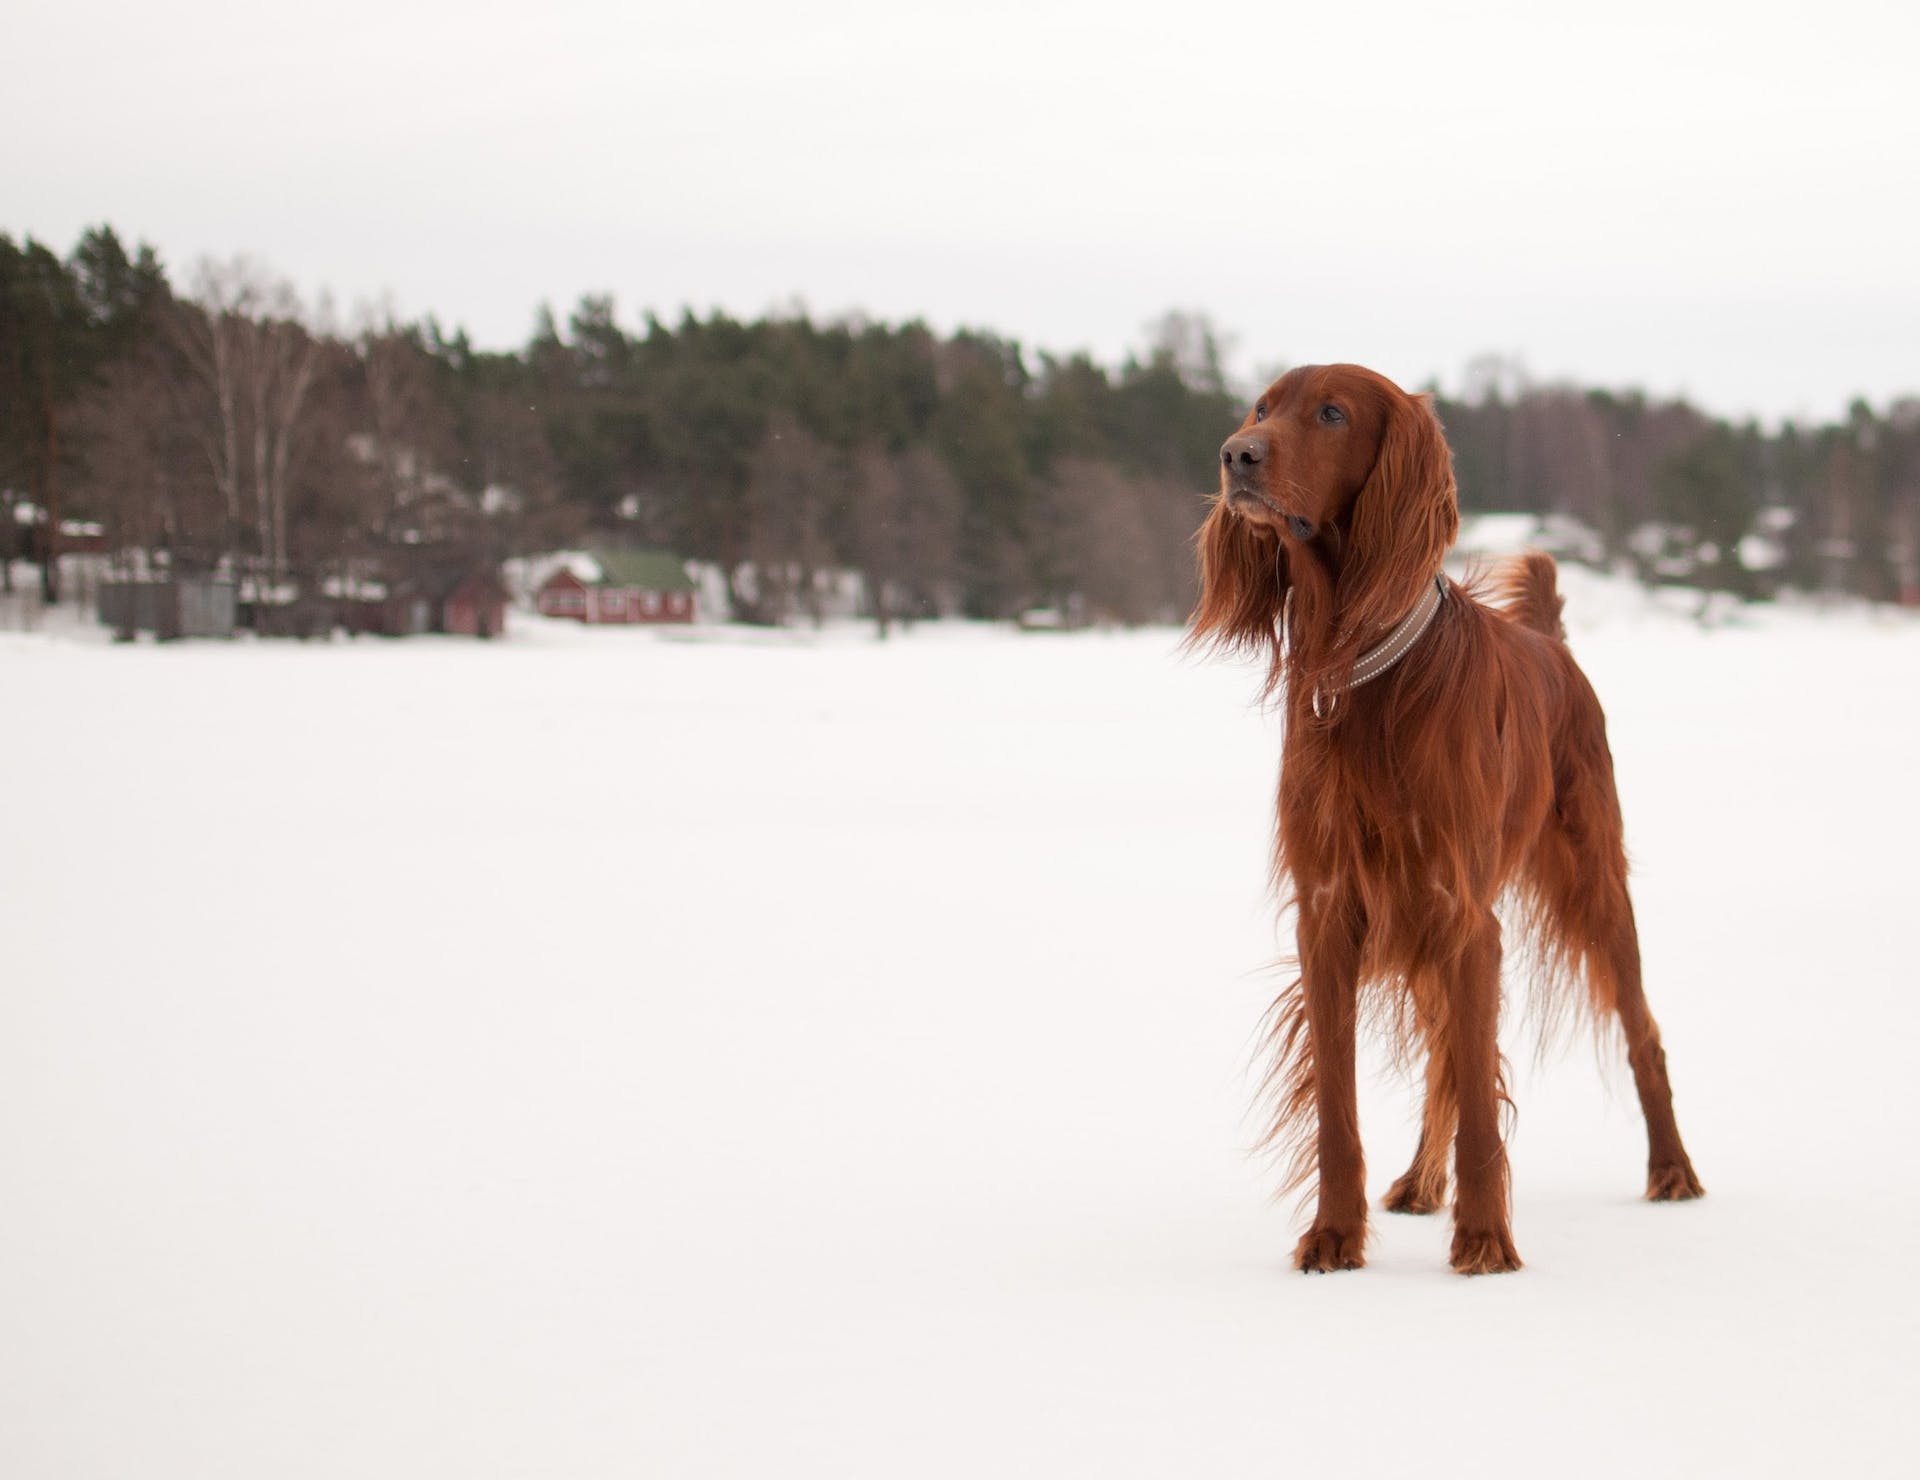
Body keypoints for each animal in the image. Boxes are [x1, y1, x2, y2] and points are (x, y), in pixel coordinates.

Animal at [1190, 366, 1704, 1274]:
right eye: (1261, 407)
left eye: (1332, 413)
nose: (1234, 456)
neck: (1359, 667)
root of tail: (1553, 641)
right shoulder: (1331, 913)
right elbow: (1342, 1105)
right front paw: (1333, 1234)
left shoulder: (1465, 914)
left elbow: (1480, 1101)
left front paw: (1486, 1239)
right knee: (1441, 1057)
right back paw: (1421, 1183)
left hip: (1596, 886)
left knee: (1641, 1031)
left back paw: (1673, 1170)